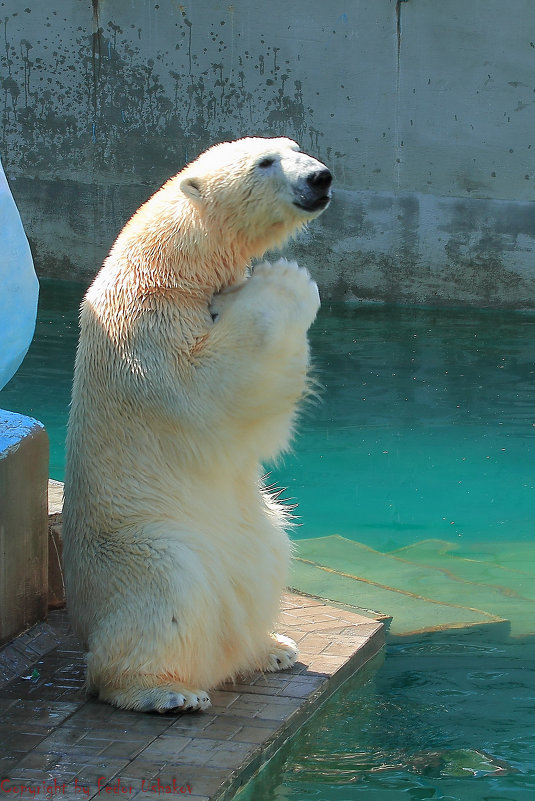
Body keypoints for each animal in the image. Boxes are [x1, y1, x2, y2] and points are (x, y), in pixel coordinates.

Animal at [61, 138, 330, 712]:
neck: (169, 264)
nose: (320, 177)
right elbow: (211, 386)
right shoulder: (148, 329)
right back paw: (165, 691)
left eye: (294, 147)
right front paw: (285, 280)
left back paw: (272, 647)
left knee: (270, 553)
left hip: (256, 531)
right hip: (144, 542)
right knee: (168, 593)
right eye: (265, 162)